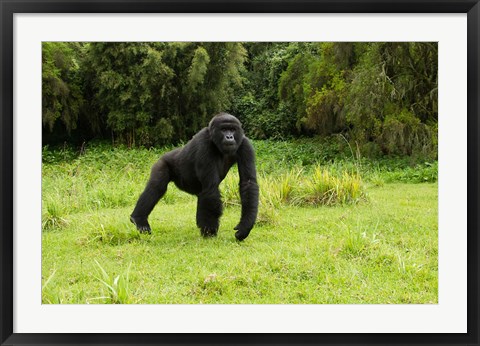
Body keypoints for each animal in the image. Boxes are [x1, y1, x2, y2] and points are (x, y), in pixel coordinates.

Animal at [129, 113, 258, 241]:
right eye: (224, 129)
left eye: (232, 129)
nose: (229, 137)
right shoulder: (204, 143)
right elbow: (211, 187)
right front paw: (210, 230)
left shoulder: (245, 144)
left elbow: (248, 182)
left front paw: (245, 225)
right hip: (162, 162)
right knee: (157, 187)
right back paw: (139, 219)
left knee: (202, 195)